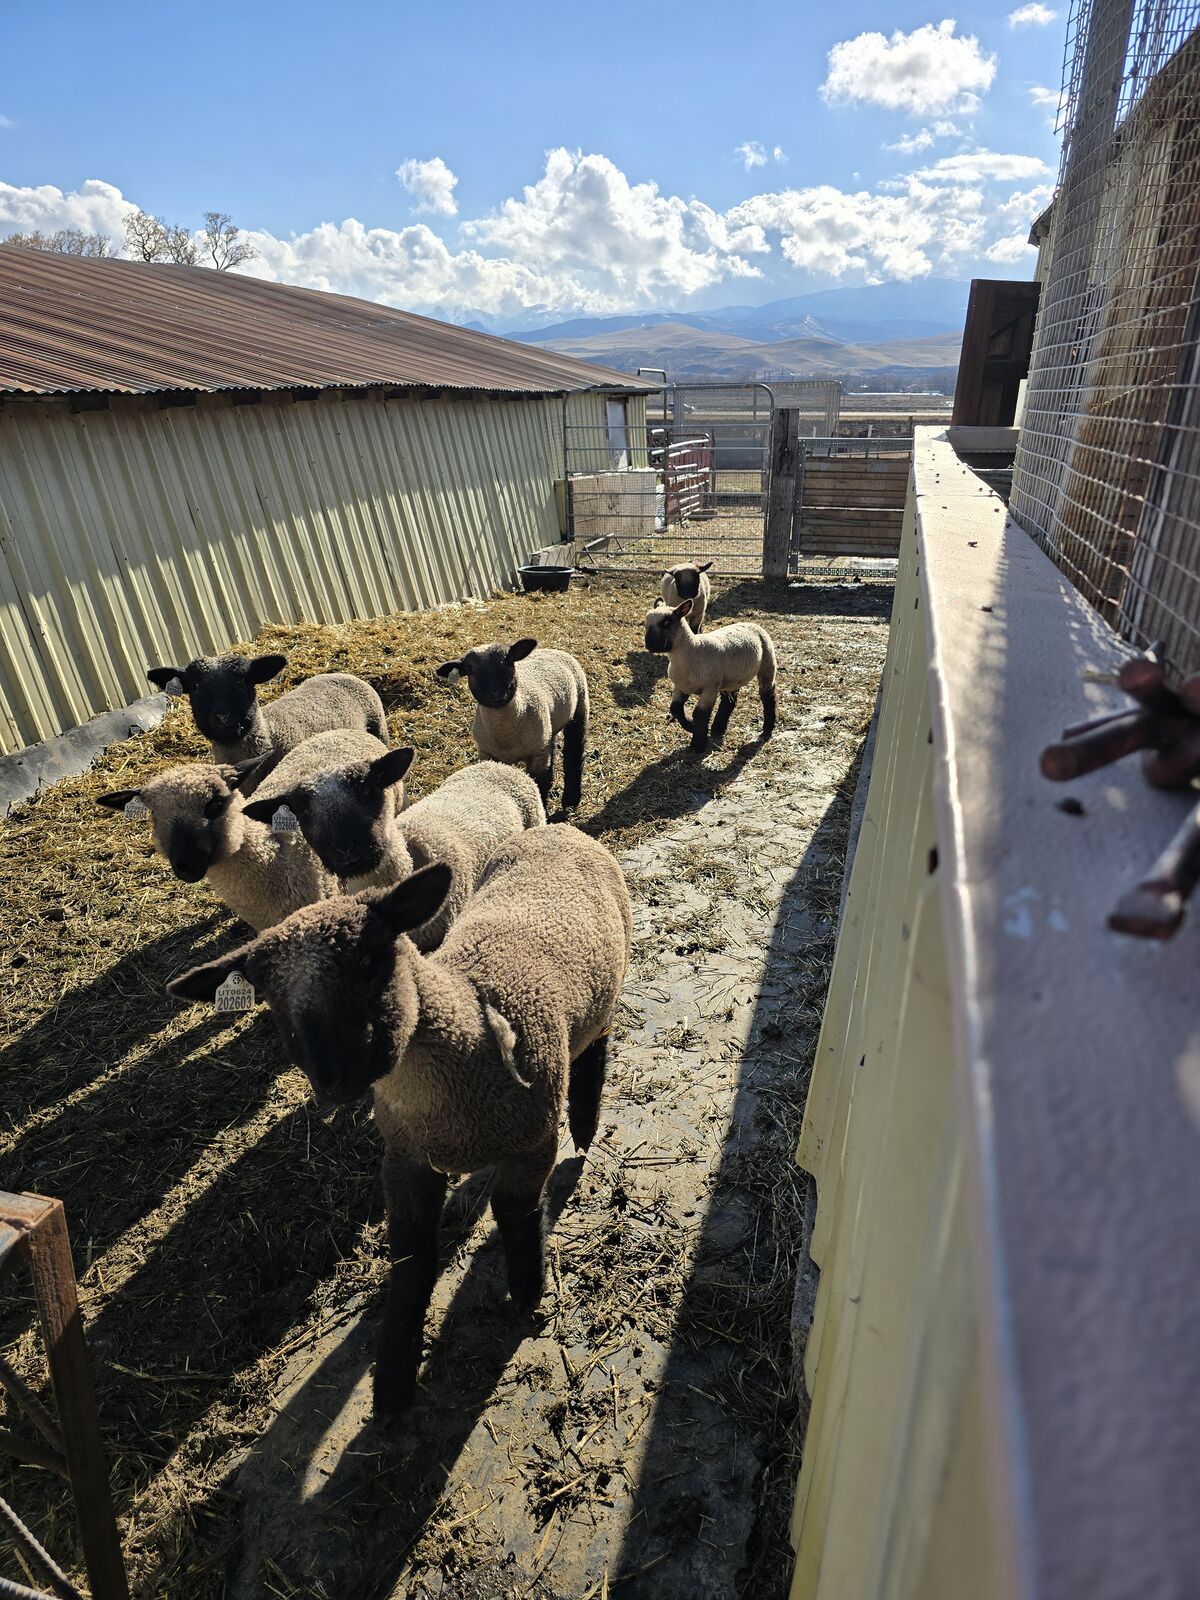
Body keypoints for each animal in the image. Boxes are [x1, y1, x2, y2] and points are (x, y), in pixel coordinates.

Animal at [168, 823, 632, 1419]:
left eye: (370, 959)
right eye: (269, 997)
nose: (334, 1079)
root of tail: (562, 828)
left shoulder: (532, 1144)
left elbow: (515, 1215)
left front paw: (528, 1290)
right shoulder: (405, 1159)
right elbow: (411, 1259)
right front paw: (391, 1384)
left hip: (605, 996)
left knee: (595, 1048)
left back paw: (586, 1123)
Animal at [435, 639, 589, 810]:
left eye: (508, 660)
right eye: (470, 669)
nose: (496, 693)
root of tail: (552, 649)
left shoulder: (537, 756)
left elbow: (540, 786)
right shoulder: (488, 754)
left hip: (580, 706)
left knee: (574, 752)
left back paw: (571, 799)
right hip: (549, 728)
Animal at [644, 598, 777, 753]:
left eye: (666, 622)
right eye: (646, 623)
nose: (649, 645)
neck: (693, 650)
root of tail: (752, 623)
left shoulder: (710, 688)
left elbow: (700, 714)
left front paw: (698, 745)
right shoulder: (681, 686)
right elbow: (676, 708)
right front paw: (690, 726)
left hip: (767, 662)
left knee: (768, 696)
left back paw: (766, 731)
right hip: (731, 677)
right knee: (729, 701)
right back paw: (718, 728)